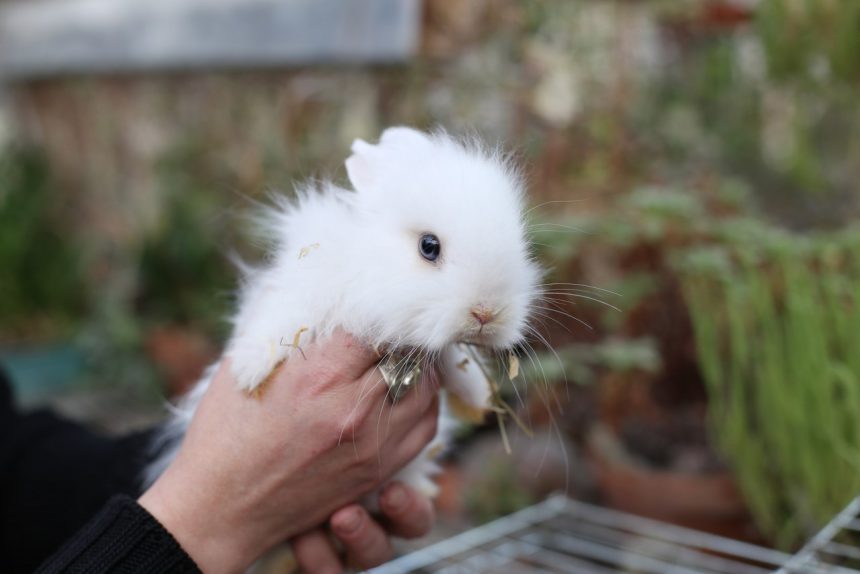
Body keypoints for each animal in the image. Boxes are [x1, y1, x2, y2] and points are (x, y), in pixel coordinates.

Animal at [144, 127, 540, 508]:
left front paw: (477, 401)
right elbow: (282, 321)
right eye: (429, 246)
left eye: (521, 244)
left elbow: (456, 364)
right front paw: (249, 371)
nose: (486, 313)